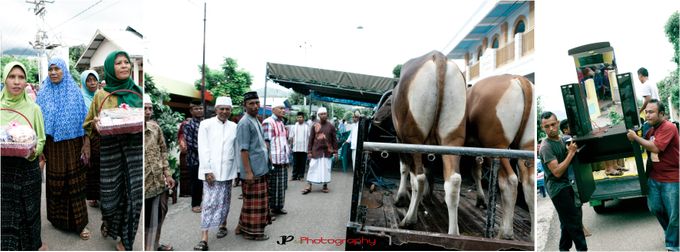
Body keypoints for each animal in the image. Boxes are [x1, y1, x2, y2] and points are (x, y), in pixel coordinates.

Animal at [388, 50, 468, 234]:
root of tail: (439, 58)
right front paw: (426, 197)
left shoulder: (400, 140)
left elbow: (404, 168)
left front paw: (400, 197)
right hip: (452, 138)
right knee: (453, 181)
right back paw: (453, 233)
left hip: (413, 139)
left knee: (418, 178)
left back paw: (409, 219)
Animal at [468, 74, 536, 239]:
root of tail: (518, 79)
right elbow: (476, 171)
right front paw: (481, 199)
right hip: (526, 146)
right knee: (529, 183)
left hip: (497, 146)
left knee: (509, 182)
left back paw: (505, 232)